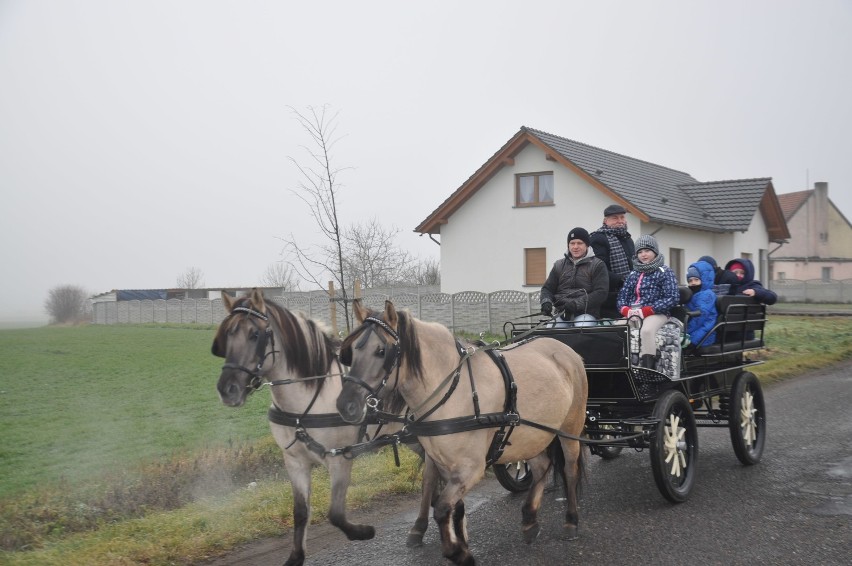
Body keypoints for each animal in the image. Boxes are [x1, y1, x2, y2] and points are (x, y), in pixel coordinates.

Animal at [213, 290, 440, 566]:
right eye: (227, 334)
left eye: (254, 335)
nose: (227, 389)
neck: (308, 403)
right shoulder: (295, 462)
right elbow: (301, 512)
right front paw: (295, 557)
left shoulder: (339, 458)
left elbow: (336, 513)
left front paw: (362, 532)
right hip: (411, 437)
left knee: (430, 474)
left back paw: (421, 525)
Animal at [336, 300, 588, 564]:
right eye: (351, 352)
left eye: (381, 351)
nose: (346, 405)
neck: (454, 392)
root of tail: (565, 349)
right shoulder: (444, 464)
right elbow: (452, 505)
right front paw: (461, 543)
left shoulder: (471, 468)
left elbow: (442, 508)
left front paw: (457, 552)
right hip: (530, 436)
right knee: (541, 466)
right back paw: (529, 520)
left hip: (570, 428)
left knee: (570, 470)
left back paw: (571, 521)